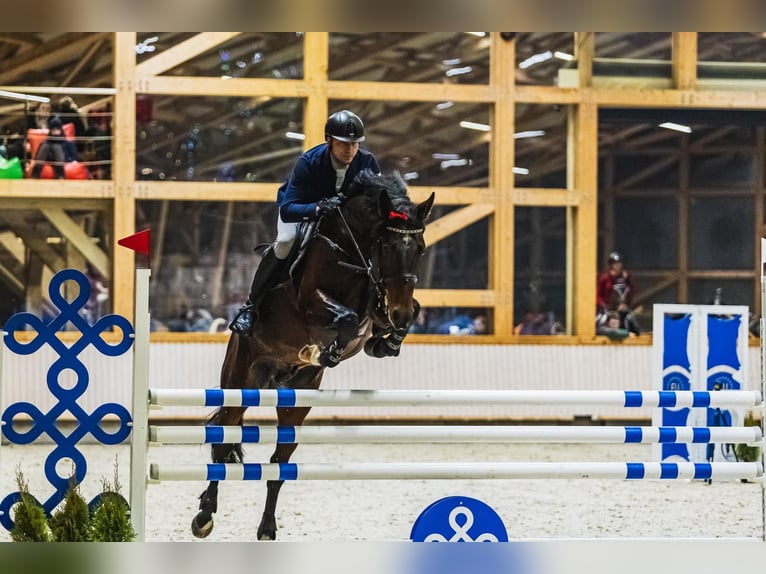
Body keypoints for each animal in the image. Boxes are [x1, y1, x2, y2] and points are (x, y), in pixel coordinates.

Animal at [192, 170, 438, 540]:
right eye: (386, 246)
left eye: (420, 249)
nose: (400, 312)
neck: (352, 248)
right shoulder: (312, 302)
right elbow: (346, 318)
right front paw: (328, 351)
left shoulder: (377, 302)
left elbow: (396, 314)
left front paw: (386, 342)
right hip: (240, 381)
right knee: (223, 441)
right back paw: (205, 515)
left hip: (297, 398)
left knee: (279, 464)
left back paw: (267, 528)